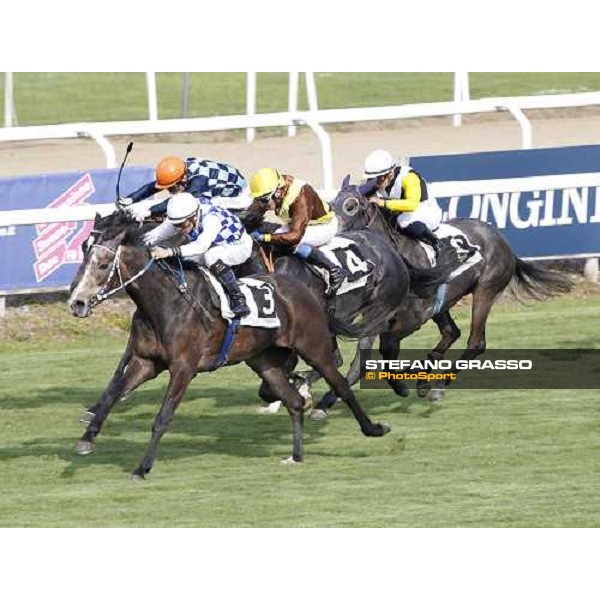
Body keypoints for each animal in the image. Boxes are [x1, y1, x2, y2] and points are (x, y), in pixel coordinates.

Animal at [67, 211, 390, 478]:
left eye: (104, 265)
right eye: (83, 255)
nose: (76, 302)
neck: (164, 302)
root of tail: (306, 290)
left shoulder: (183, 368)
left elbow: (162, 417)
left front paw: (142, 467)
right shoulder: (146, 362)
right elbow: (112, 394)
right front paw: (86, 439)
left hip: (314, 347)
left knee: (340, 384)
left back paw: (372, 428)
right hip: (264, 361)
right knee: (293, 401)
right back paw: (297, 454)